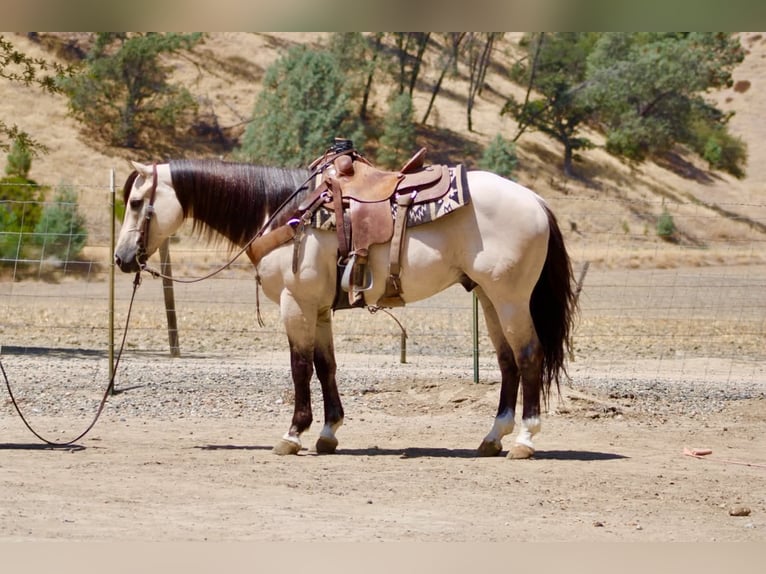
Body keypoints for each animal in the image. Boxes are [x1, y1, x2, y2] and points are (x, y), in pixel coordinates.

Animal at [114, 154, 576, 459]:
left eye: (136, 203)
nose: (121, 258)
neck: (284, 211)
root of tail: (536, 202)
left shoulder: (296, 304)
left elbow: (300, 366)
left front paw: (293, 434)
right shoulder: (318, 309)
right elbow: (326, 366)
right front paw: (328, 431)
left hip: (510, 299)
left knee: (529, 356)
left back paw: (524, 440)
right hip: (488, 298)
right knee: (507, 361)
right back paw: (493, 438)